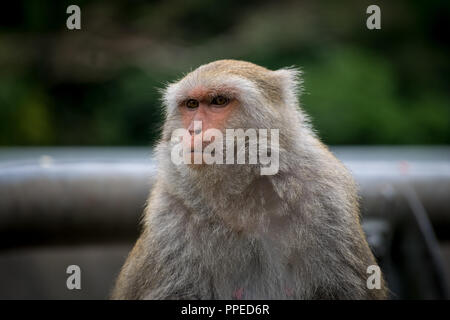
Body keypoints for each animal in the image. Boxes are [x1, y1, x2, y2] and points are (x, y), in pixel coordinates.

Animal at [111, 58, 386, 298]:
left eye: (219, 101)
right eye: (191, 105)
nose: (193, 130)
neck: (242, 197)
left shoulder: (327, 200)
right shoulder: (169, 216)